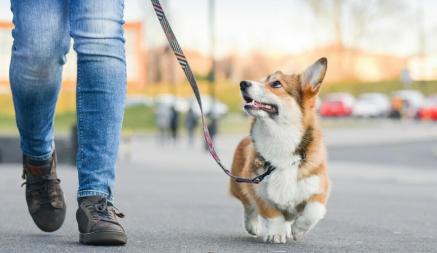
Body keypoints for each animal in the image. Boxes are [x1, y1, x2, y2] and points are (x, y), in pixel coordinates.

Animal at [230, 57, 328, 243]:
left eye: (276, 83)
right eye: (262, 80)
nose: (242, 83)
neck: (280, 137)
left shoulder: (319, 188)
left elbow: (313, 211)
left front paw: (298, 230)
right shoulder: (259, 190)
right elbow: (273, 214)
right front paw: (276, 233)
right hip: (238, 184)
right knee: (248, 205)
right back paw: (253, 225)